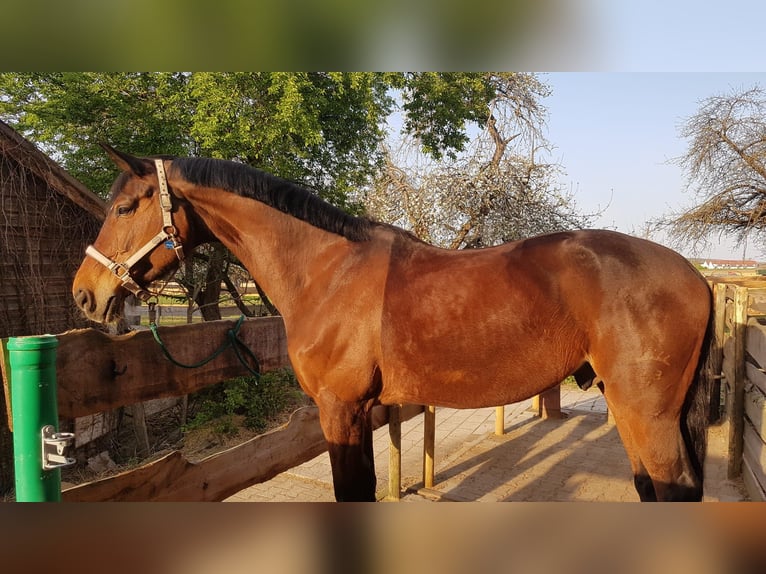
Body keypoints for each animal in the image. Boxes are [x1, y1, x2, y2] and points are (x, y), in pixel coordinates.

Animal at [72, 146, 712, 502]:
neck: (326, 269)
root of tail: (698, 276)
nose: (85, 293)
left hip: (646, 412)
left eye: (123, 207)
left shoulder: (341, 410)